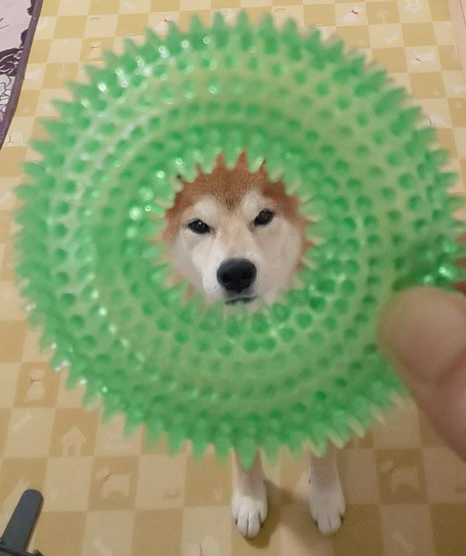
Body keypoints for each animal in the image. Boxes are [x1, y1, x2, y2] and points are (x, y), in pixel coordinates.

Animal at [163, 153, 346, 538]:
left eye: (263, 216)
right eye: (199, 225)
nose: (235, 272)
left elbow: (322, 448)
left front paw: (324, 497)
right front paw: (250, 499)